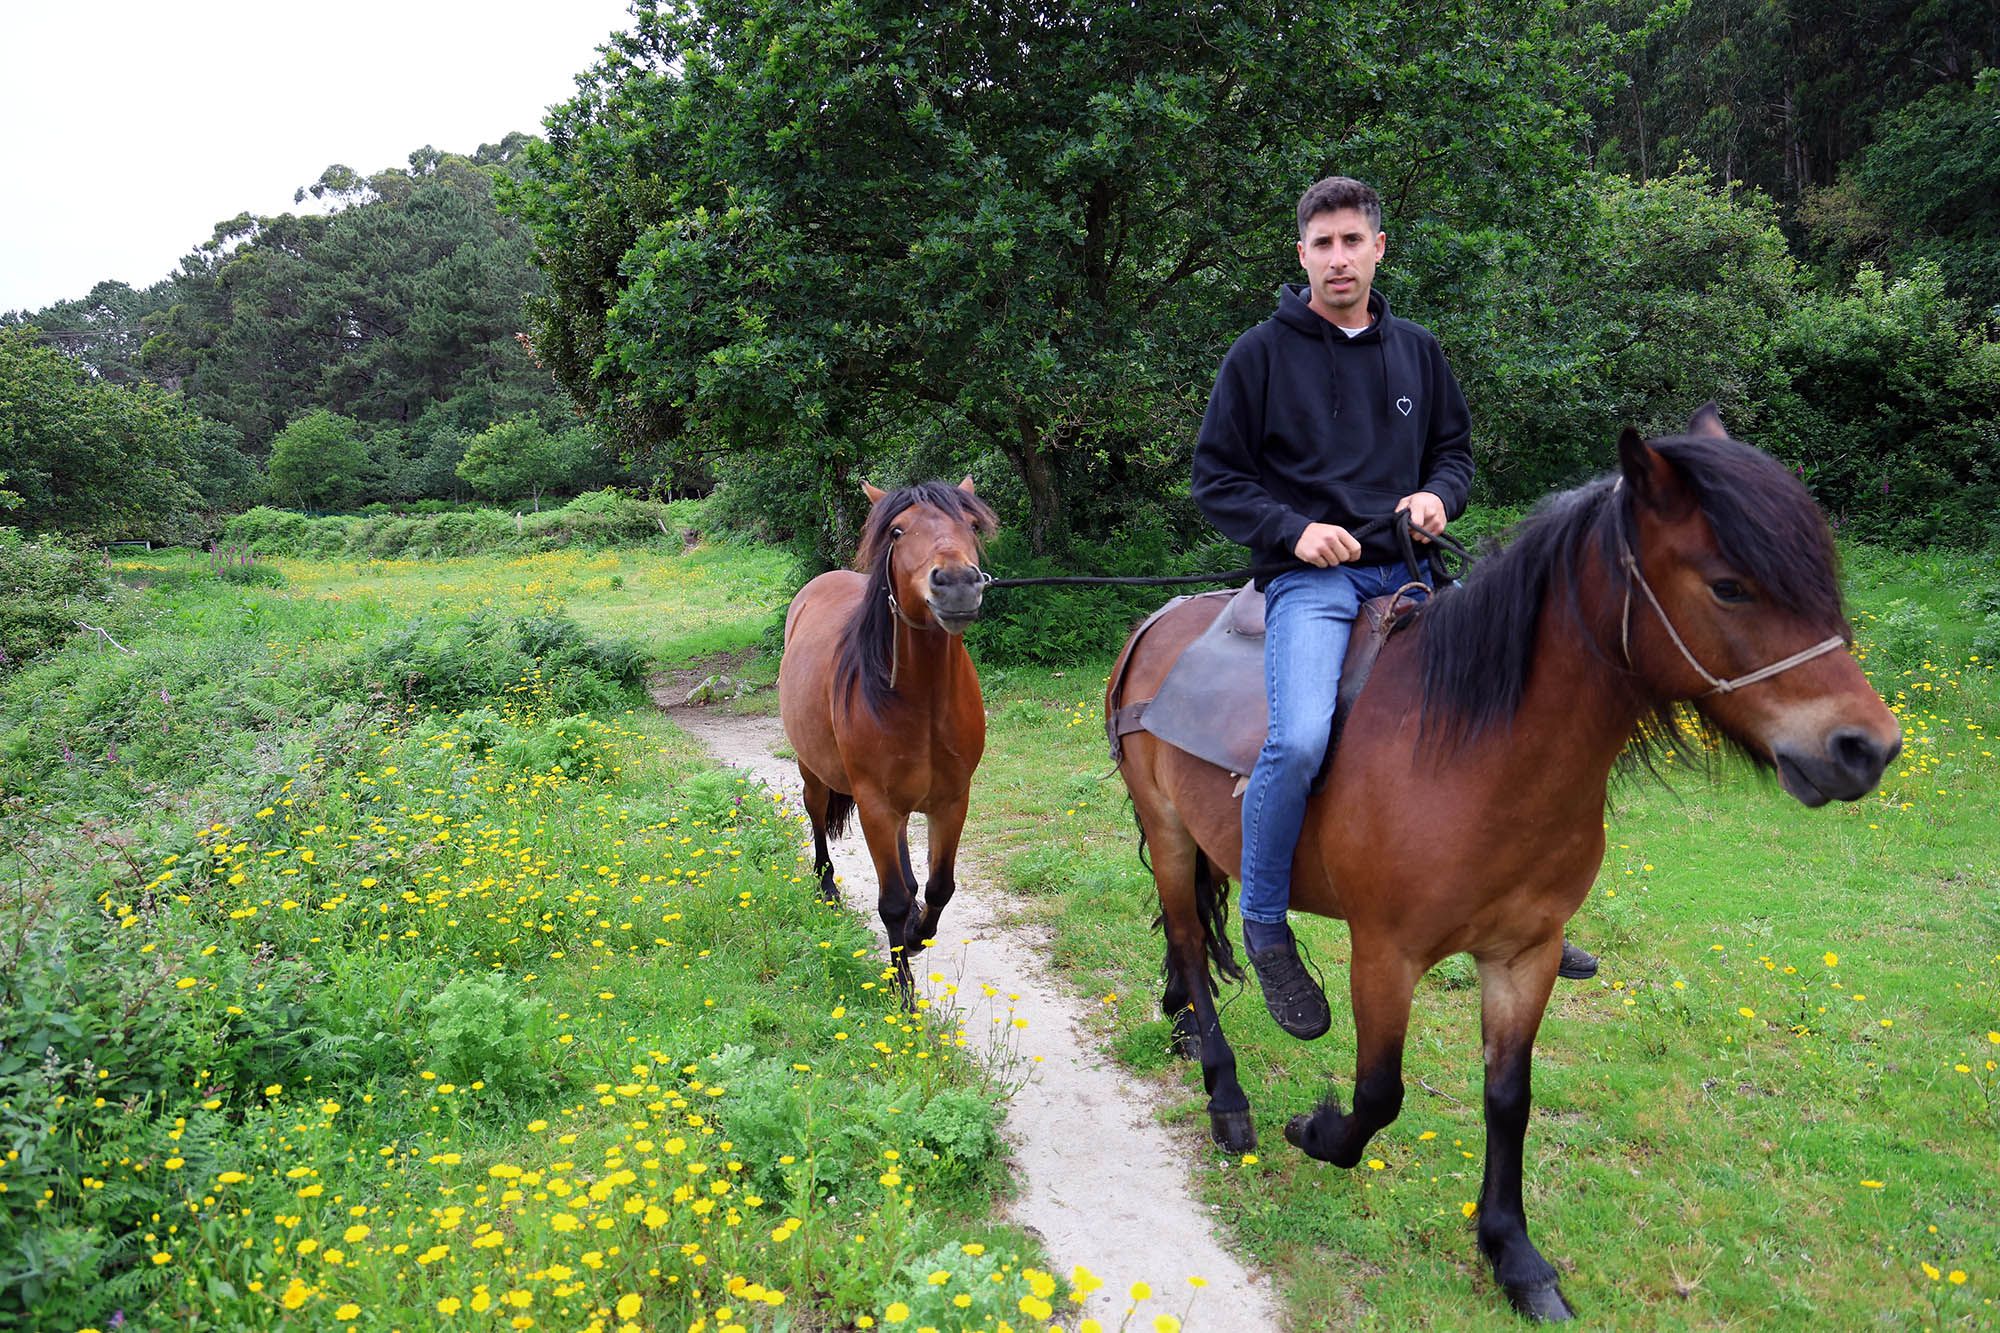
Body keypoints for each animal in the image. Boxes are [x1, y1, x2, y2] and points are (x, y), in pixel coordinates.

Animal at [780, 482, 1000, 992]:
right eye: (898, 530)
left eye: (971, 524)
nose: (957, 582)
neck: (924, 703)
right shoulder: (875, 806)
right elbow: (892, 902)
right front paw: (902, 991)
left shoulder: (951, 801)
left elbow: (940, 886)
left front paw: (919, 933)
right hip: (814, 771)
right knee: (816, 815)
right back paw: (826, 888)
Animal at [1112, 410, 1904, 1312]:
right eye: (1730, 585)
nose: (1867, 746)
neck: (1472, 748)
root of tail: (1153, 628)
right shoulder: (1385, 954)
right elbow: (1378, 1093)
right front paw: (1313, 1129)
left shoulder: (1525, 954)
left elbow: (1508, 1098)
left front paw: (1514, 1255)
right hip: (1169, 835)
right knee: (1190, 945)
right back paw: (1227, 1094)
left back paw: (1181, 1025)